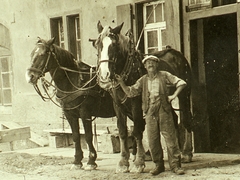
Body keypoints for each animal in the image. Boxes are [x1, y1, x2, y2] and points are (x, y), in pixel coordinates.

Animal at [25, 37, 116, 170]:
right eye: (31, 54)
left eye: (43, 54)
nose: (30, 77)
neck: (73, 81)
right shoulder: (69, 114)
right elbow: (76, 136)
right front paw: (77, 161)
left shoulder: (85, 113)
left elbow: (88, 136)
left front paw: (91, 161)